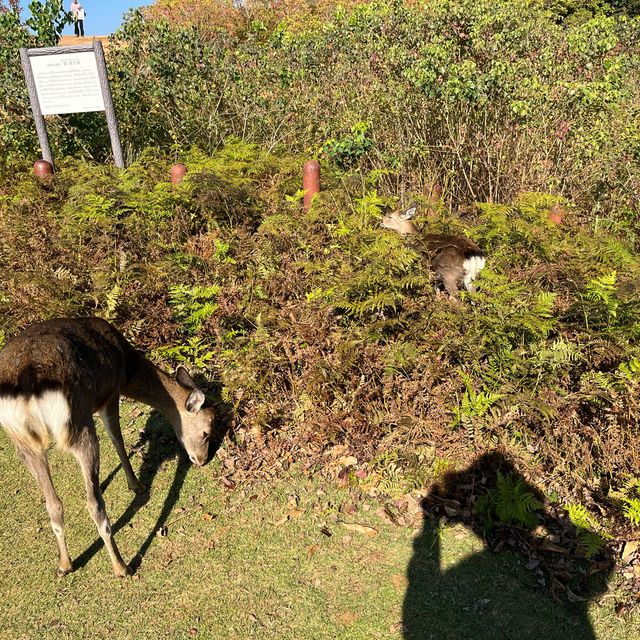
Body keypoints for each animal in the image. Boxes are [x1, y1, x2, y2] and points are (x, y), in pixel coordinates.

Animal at [0, 318, 216, 576]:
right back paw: (121, 566)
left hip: (22, 441)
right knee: (94, 505)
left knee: (53, 504)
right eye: (206, 431)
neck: (127, 366)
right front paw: (136, 484)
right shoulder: (111, 395)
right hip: (79, 424)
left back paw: (64, 564)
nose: (202, 460)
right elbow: (118, 440)